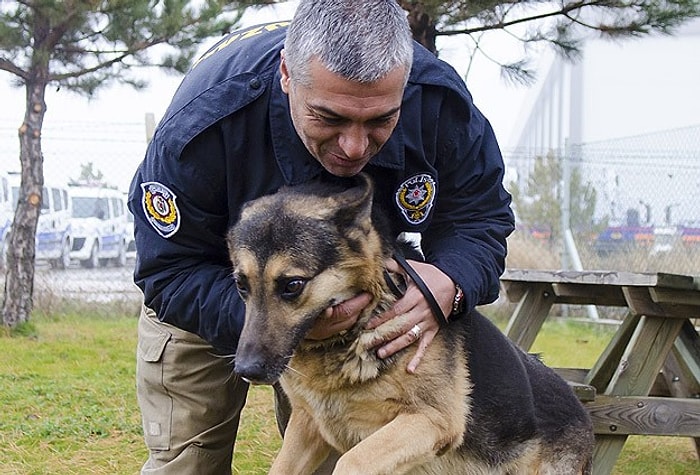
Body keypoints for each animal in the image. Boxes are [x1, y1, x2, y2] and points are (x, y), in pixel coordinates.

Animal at [227, 175, 592, 475]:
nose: (246, 370)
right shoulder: (306, 428)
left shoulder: (429, 422)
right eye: (242, 285)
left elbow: (352, 461)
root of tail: (584, 415)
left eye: (292, 285)